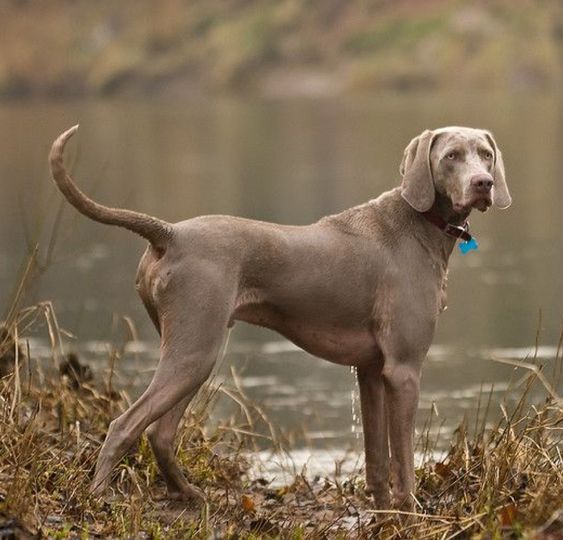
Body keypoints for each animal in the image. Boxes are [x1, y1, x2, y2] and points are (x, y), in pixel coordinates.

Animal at [48, 124, 512, 508]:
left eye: (486, 154)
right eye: (451, 155)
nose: (483, 183)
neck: (420, 225)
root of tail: (171, 233)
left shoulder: (370, 371)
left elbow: (378, 464)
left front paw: (385, 517)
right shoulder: (404, 370)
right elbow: (404, 465)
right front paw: (410, 517)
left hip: (192, 353)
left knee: (159, 433)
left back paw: (188, 494)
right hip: (195, 350)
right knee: (123, 426)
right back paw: (98, 499)